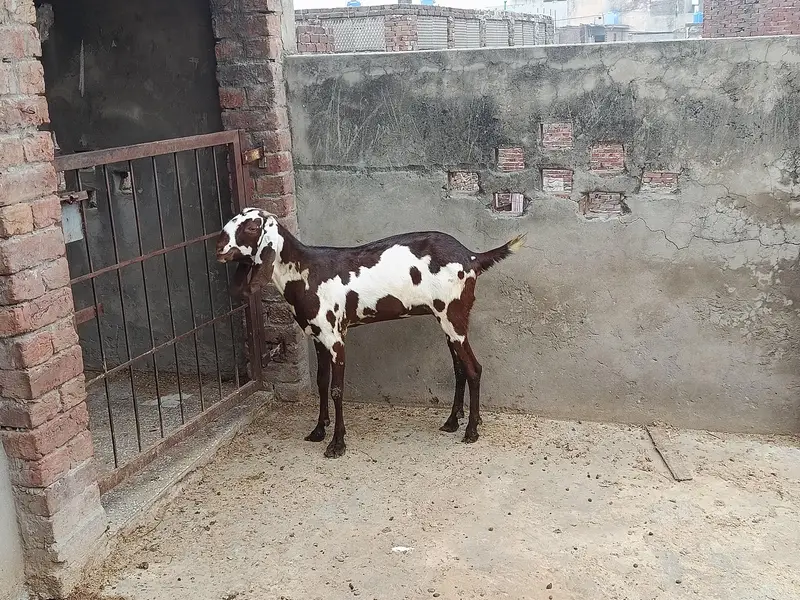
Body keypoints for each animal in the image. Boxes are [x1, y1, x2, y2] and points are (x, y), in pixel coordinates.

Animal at [216, 207, 525, 458]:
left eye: (252, 226)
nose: (219, 246)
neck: (306, 271)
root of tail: (472, 257)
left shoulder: (336, 337)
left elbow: (337, 390)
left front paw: (337, 444)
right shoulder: (318, 337)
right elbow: (321, 383)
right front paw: (319, 431)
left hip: (453, 316)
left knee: (473, 368)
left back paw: (471, 431)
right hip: (448, 320)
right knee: (459, 368)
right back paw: (452, 422)